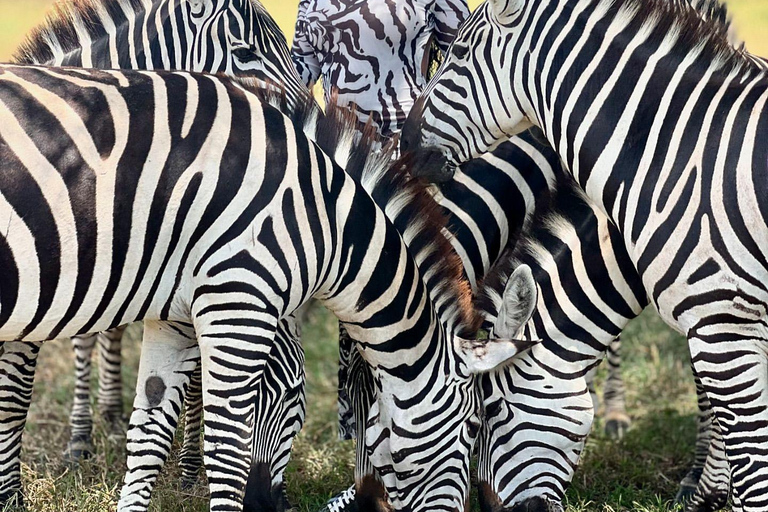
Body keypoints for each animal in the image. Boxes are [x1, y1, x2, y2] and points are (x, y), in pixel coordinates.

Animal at [0, 65, 536, 512]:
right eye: (474, 427)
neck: (326, 221)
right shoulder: (237, 302)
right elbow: (226, 448)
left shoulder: (173, 318)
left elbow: (148, 435)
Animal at [400, 0, 768, 510]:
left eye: (490, 411)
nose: (405, 145)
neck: (680, 163)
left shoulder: (722, 319)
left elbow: (752, 458)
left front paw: (710, 488)